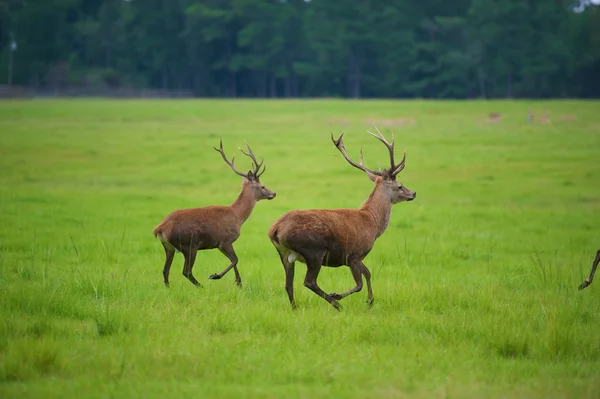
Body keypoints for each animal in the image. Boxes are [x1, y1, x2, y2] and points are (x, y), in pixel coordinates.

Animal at [154, 142, 278, 290]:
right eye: (263, 186)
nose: (273, 193)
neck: (237, 216)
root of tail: (160, 228)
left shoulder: (225, 243)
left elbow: (235, 261)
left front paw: (239, 283)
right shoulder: (224, 241)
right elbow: (235, 259)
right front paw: (216, 276)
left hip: (169, 247)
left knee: (165, 270)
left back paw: (169, 288)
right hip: (189, 244)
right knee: (186, 271)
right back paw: (201, 287)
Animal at [268, 130, 414, 310]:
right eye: (400, 186)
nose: (413, 193)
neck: (372, 223)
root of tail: (275, 230)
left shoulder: (356, 257)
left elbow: (368, 273)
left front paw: (370, 301)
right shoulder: (354, 254)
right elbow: (360, 283)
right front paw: (338, 294)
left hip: (285, 254)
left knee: (289, 285)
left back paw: (296, 309)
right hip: (314, 251)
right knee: (309, 282)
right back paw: (336, 304)